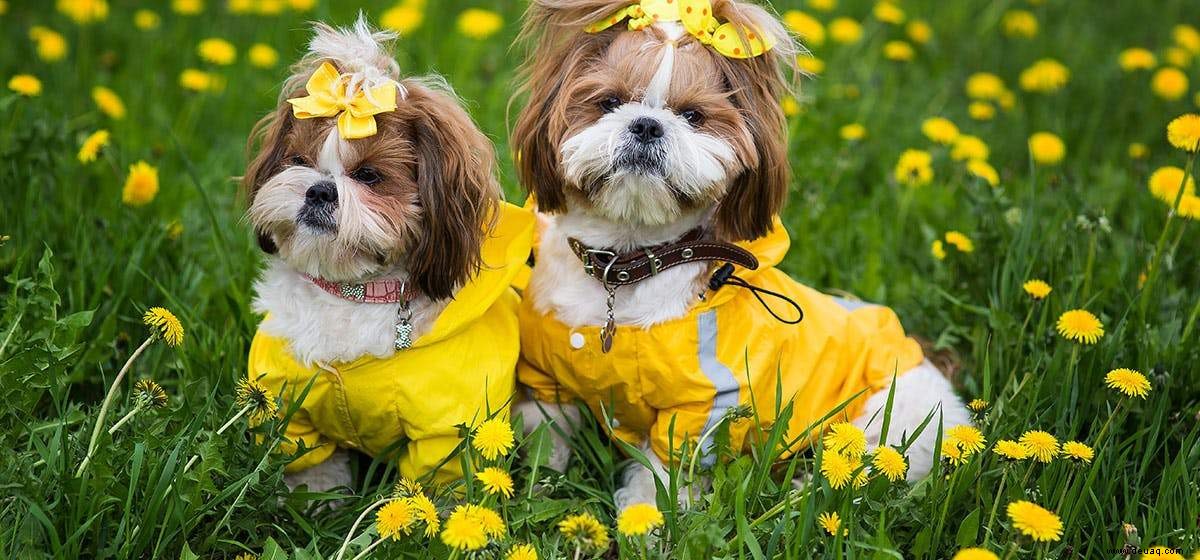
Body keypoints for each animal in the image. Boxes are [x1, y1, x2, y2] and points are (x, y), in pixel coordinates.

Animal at [241, 17, 532, 494]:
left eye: (369, 176)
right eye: (298, 160)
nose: (319, 189)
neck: (353, 290)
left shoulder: (446, 431)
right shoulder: (290, 407)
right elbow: (313, 466)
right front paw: (315, 499)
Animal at [511, 0, 969, 513]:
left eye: (693, 115)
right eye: (608, 102)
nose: (646, 124)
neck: (625, 265)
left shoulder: (702, 406)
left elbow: (663, 470)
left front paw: (645, 517)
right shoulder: (548, 375)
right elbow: (549, 431)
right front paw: (538, 484)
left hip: (890, 423)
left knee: (860, 472)